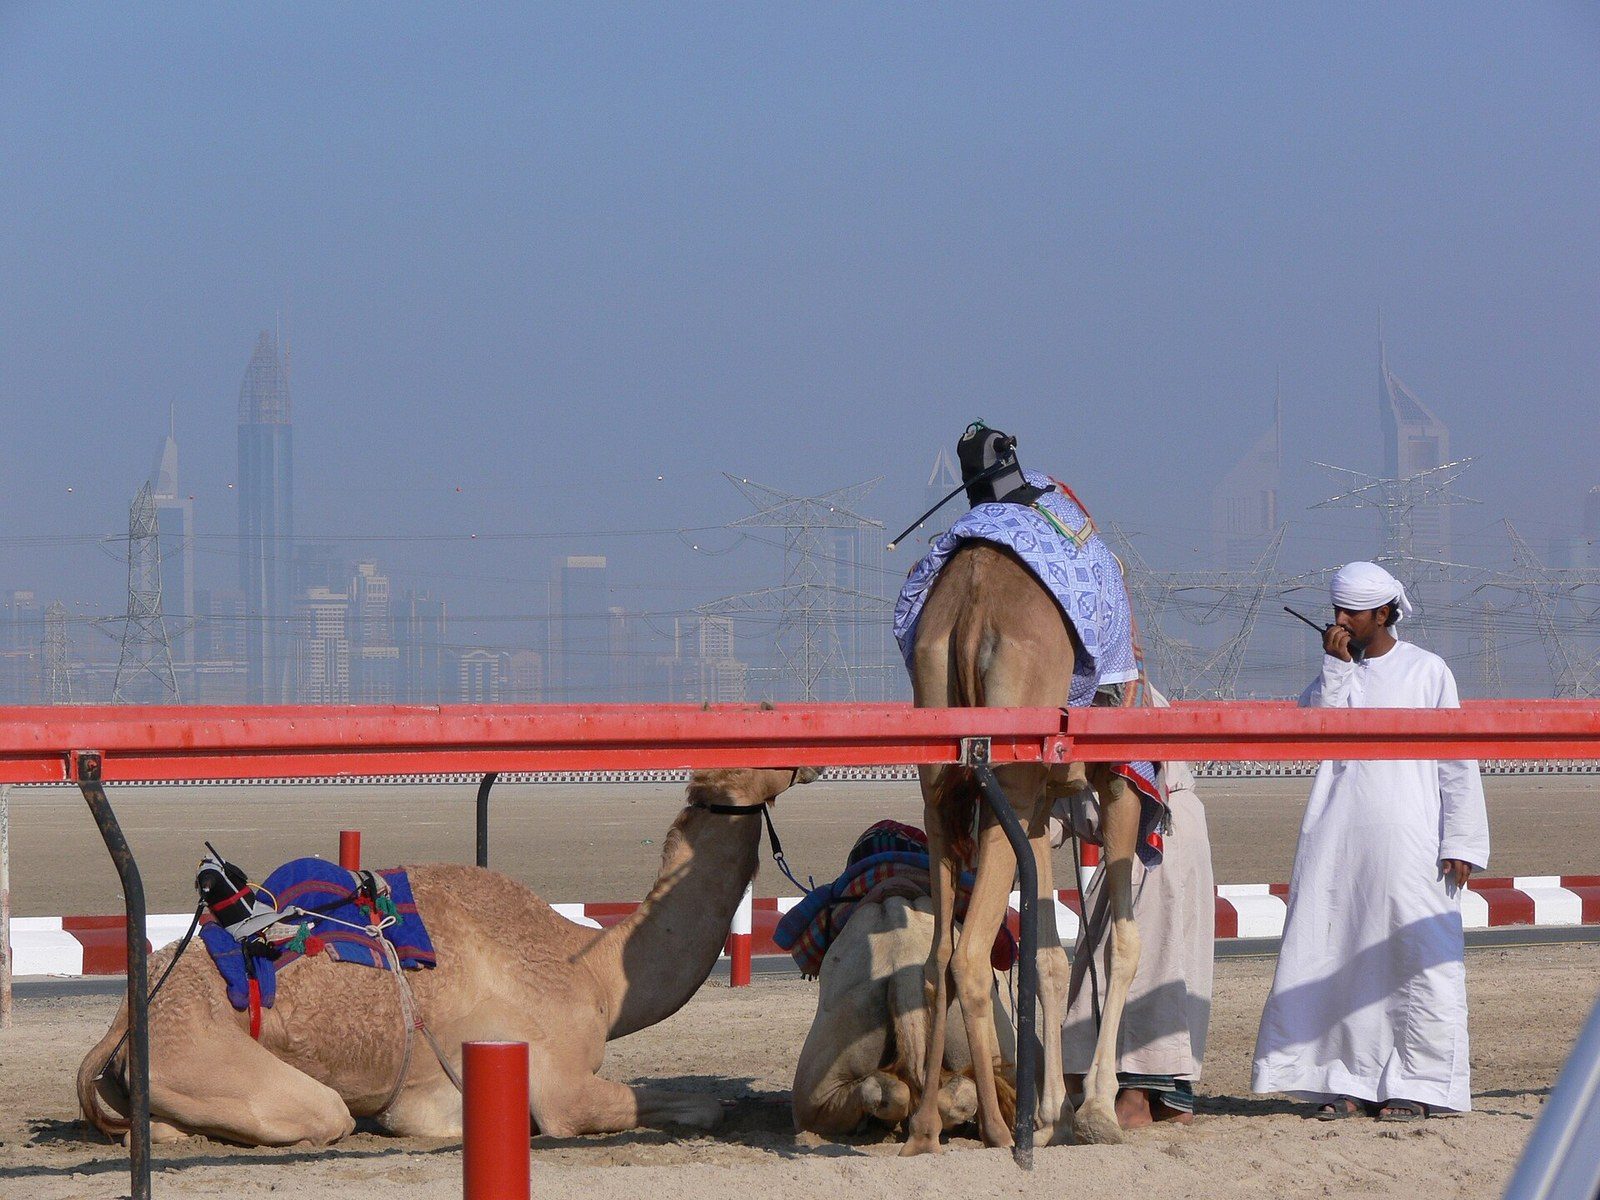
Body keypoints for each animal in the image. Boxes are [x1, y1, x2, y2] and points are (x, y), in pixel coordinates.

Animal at [78, 766, 816, 1147]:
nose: (801, 760)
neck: (591, 972)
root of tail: (121, 1026)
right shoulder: (558, 1081)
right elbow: (700, 1108)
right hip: (202, 1051)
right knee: (320, 1116)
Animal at [902, 541, 1143, 1153]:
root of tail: (973, 603)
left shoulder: (1040, 806)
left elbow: (1049, 954)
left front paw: (1055, 1110)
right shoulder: (1122, 783)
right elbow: (1122, 943)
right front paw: (1095, 1109)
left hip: (940, 778)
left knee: (937, 958)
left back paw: (926, 1129)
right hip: (1007, 771)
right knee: (968, 955)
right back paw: (995, 1128)